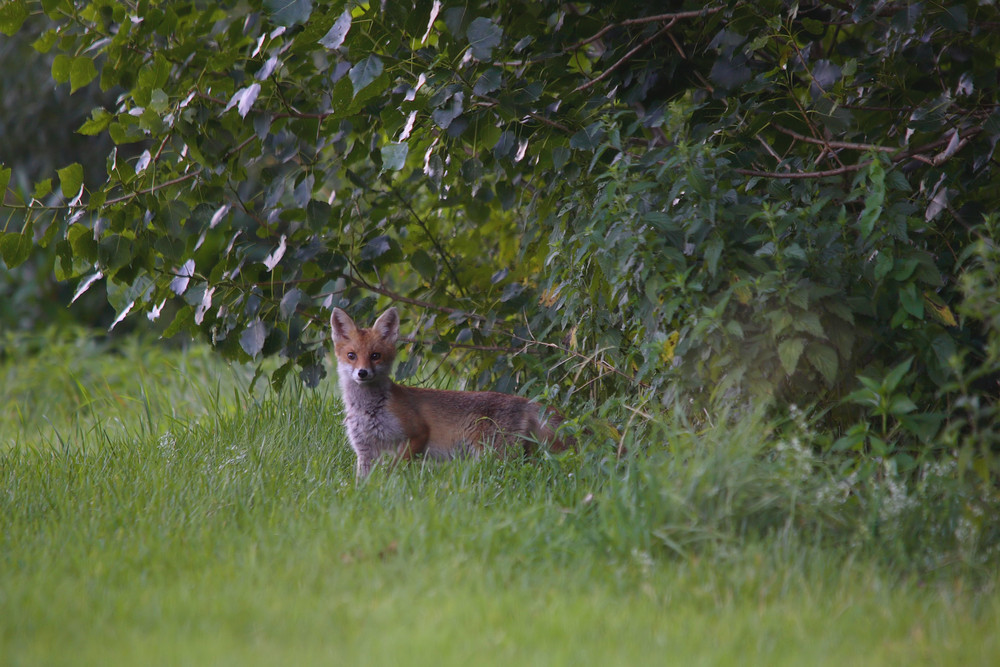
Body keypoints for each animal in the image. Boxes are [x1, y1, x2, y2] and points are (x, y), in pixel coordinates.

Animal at [330, 306, 572, 478]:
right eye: (351, 355)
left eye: (375, 356)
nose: (362, 373)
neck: (370, 409)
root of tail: (524, 400)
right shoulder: (364, 450)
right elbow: (364, 484)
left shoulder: (417, 433)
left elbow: (393, 470)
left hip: (494, 454)